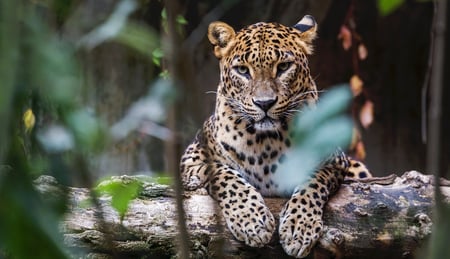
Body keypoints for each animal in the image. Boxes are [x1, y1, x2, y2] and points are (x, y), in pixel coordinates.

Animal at [179, 15, 372, 258]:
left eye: (283, 67)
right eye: (242, 70)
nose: (264, 103)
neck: (266, 141)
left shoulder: (334, 161)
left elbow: (312, 182)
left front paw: (299, 228)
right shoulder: (191, 159)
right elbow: (224, 175)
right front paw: (252, 221)